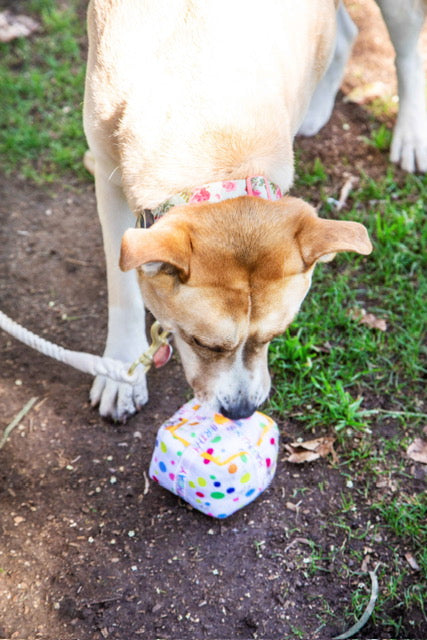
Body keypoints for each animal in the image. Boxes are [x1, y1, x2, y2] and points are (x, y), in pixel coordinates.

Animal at [85, 0, 427, 422]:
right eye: (202, 342)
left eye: (275, 336)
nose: (241, 411)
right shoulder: (107, 172)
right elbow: (123, 290)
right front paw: (121, 373)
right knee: (348, 33)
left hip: (399, 14)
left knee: (408, 55)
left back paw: (410, 135)